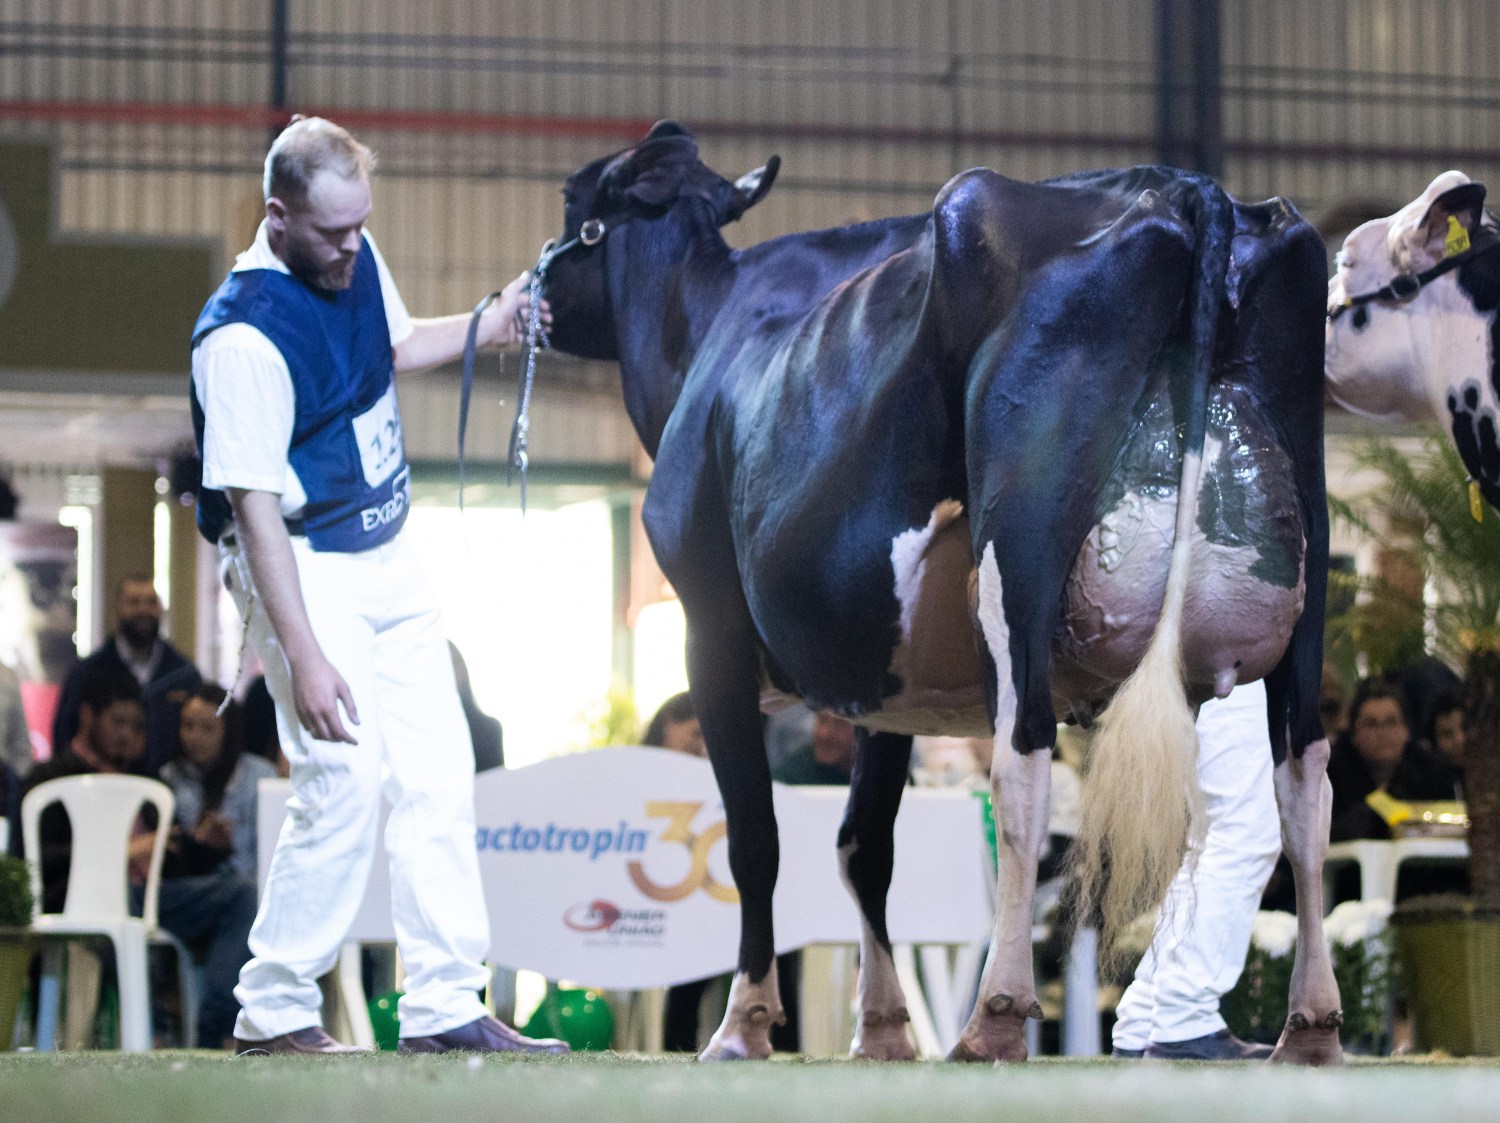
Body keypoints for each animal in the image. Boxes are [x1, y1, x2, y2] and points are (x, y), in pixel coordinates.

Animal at [540, 122, 1338, 1061]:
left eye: (575, 206)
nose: (529, 293)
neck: (705, 335)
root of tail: (1189, 189)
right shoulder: (886, 674)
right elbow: (862, 842)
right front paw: (883, 1028)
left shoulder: (711, 628)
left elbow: (755, 840)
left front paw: (742, 1025)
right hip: (1310, 557)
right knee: (1304, 781)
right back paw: (1310, 1026)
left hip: (1018, 546)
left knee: (1022, 761)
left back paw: (994, 1014)